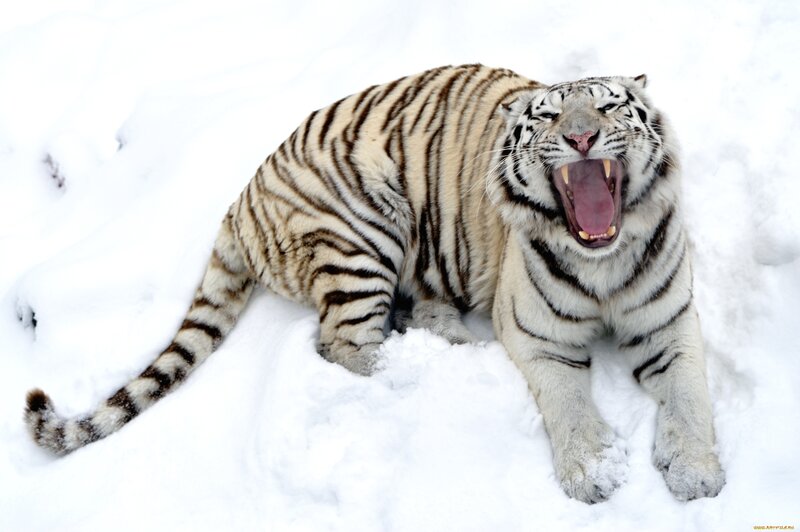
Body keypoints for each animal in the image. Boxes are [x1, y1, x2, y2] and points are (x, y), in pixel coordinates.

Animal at [24, 64, 725, 503]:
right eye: (549, 118)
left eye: (608, 107)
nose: (581, 137)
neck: (601, 259)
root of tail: (239, 202)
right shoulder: (539, 337)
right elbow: (570, 405)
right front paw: (594, 473)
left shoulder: (671, 323)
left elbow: (690, 397)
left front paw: (696, 474)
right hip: (363, 232)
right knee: (344, 344)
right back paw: (425, 369)